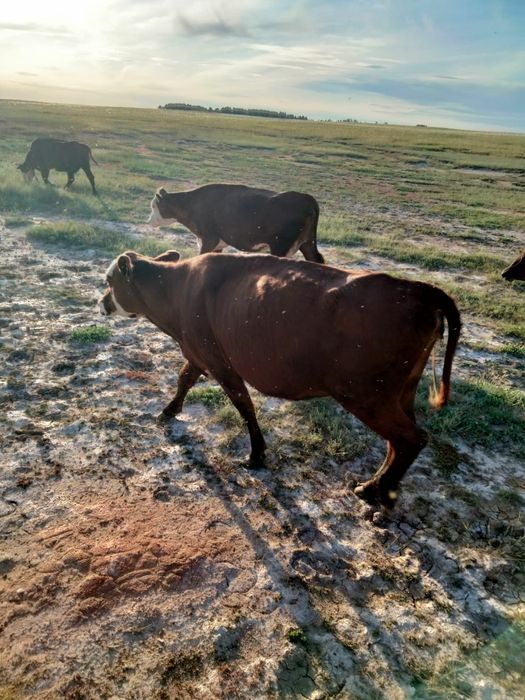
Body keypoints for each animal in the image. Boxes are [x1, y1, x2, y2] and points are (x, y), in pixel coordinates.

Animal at [99, 251, 461, 508]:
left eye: (109, 280)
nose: (101, 302)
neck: (176, 290)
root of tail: (419, 289)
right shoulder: (199, 356)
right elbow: (184, 379)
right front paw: (169, 410)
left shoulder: (221, 364)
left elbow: (244, 408)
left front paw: (256, 454)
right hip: (400, 393)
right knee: (398, 443)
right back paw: (382, 487)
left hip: (367, 395)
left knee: (411, 439)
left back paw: (375, 491)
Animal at [147, 184, 324, 262]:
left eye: (154, 206)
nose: (148, 221)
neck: (192, 204)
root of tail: (306, 198)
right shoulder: (217, 244)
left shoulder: (208, 239)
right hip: (307, 243)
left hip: (280, 246)